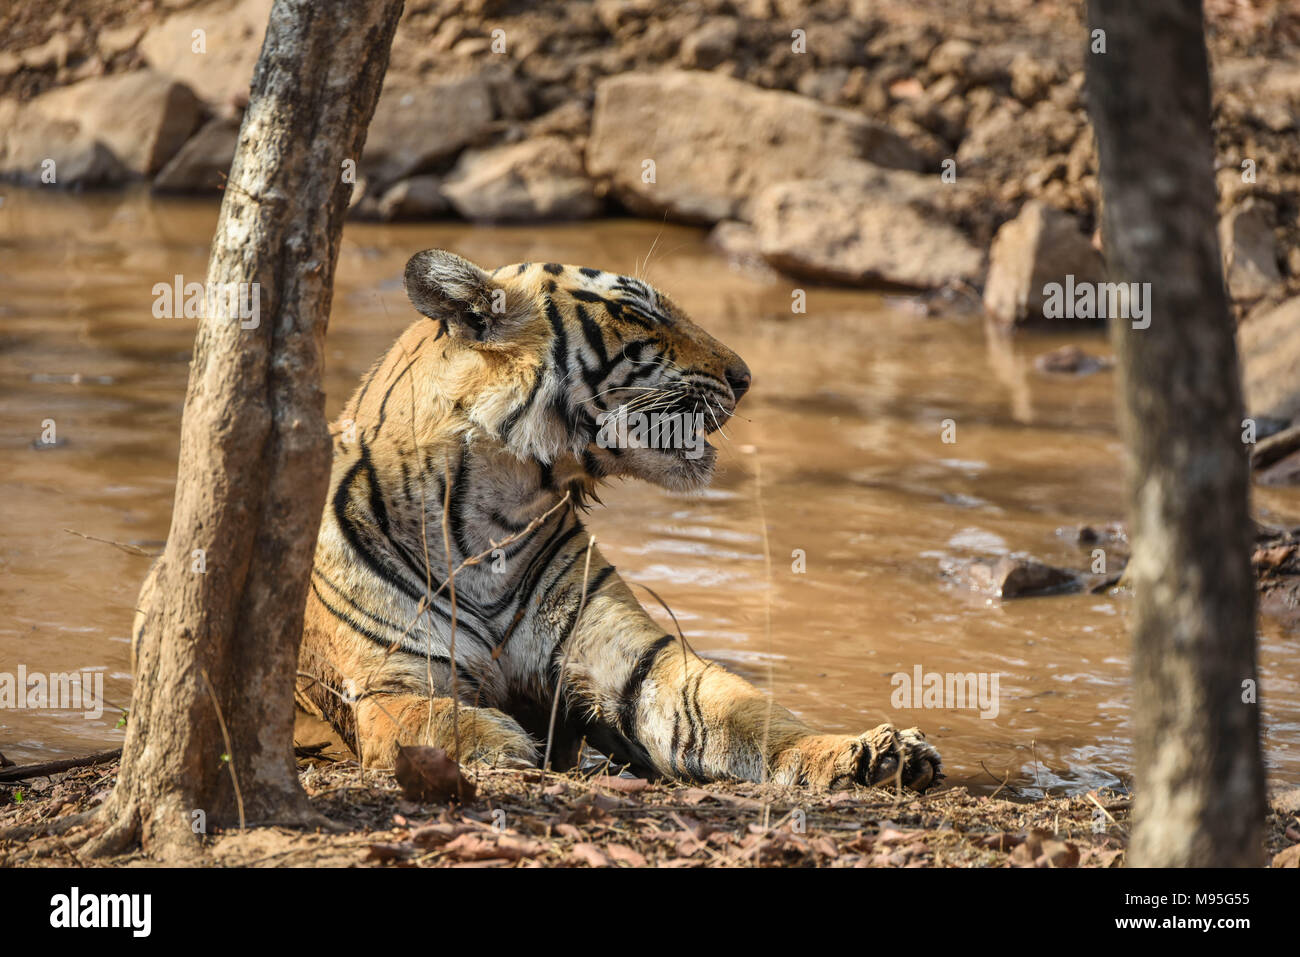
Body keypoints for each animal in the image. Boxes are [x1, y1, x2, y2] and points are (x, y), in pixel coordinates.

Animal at [295, 248, 941, 790]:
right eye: (634, 312)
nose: (745, 377)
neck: (494, 515)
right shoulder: (382, 683)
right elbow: (433, 719)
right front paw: (501, 746)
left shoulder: (641, 663)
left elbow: (747, 713)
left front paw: (874, 752)